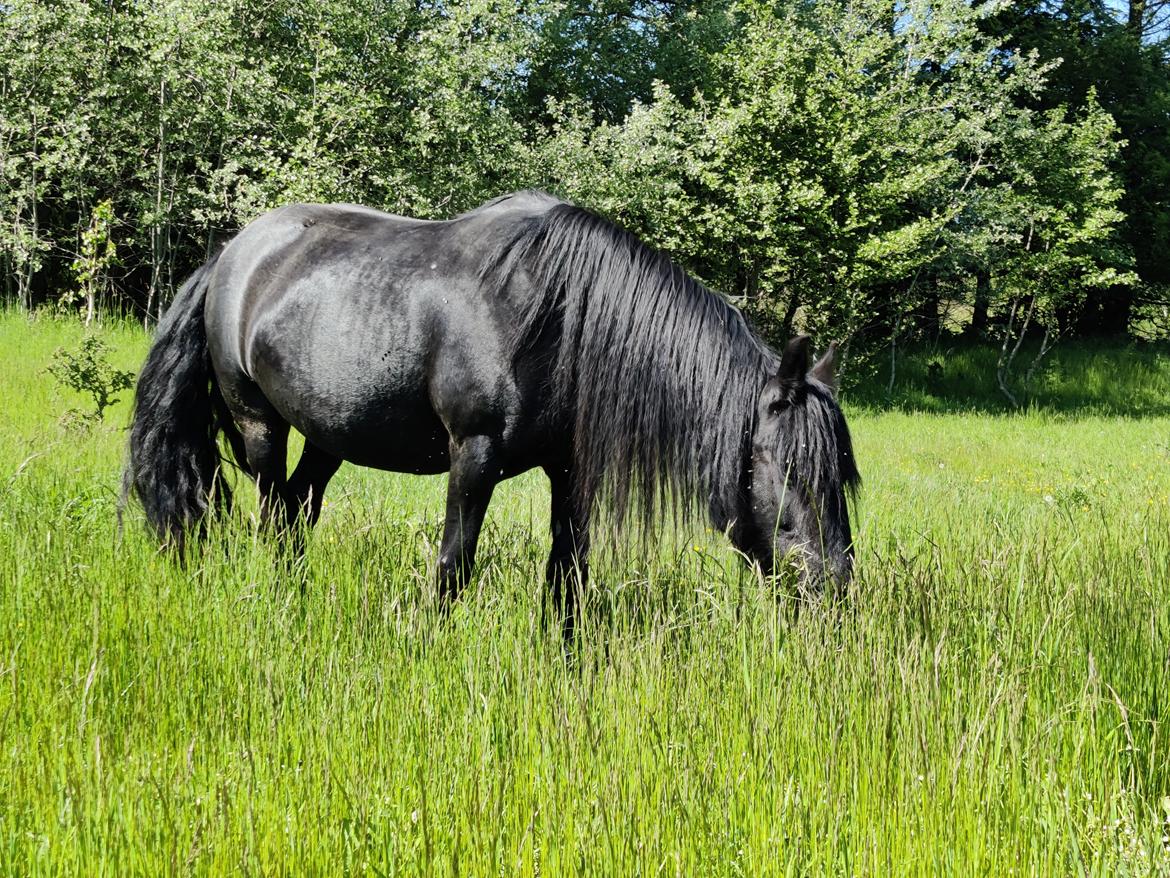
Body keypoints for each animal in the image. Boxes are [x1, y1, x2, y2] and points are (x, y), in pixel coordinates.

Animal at [123, 190, 860, 619]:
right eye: (788, 471)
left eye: (841, 479)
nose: (836, 589)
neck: (559, 314)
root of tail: (232, 254)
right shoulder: (473, 455)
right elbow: (454, 568)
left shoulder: (569, 470)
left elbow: (568, 577)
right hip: (260, 427)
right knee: (274, 515)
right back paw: (282, 604)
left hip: (329, 434)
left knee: (300, 509)